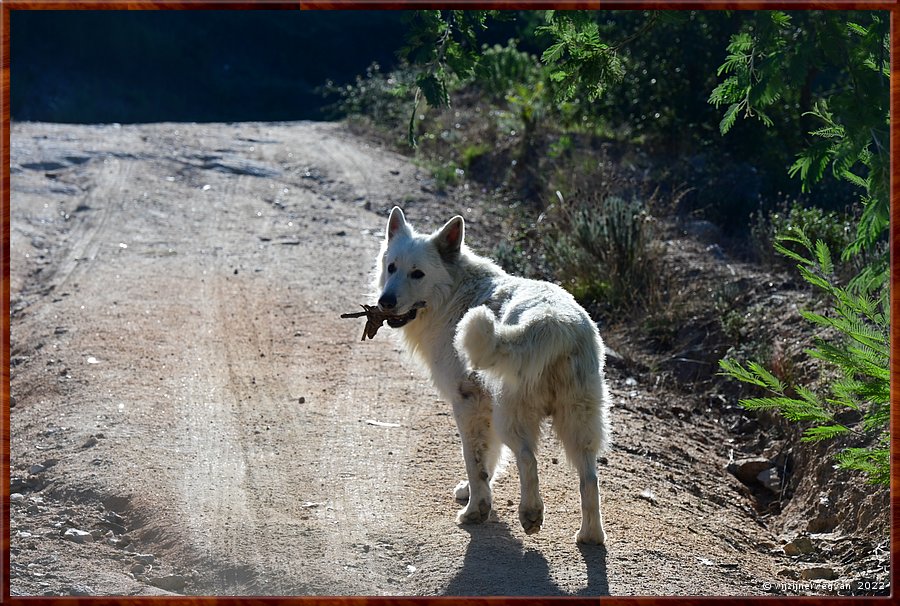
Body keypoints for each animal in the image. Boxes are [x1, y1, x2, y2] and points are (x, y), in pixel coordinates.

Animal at [372, 208, 612, 548]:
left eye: (417, 274)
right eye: (391, 267)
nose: (385, 301)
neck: (453, 294)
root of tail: (551, 321)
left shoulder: (468, 405)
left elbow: (476, 463)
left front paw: (477, 507)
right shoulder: (483, 409)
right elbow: (490, 457)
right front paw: (473, 492)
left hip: (510, 415)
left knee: (528, 459)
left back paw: (529, 514)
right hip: (579, 419)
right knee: (589, 477)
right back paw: (590, 535)